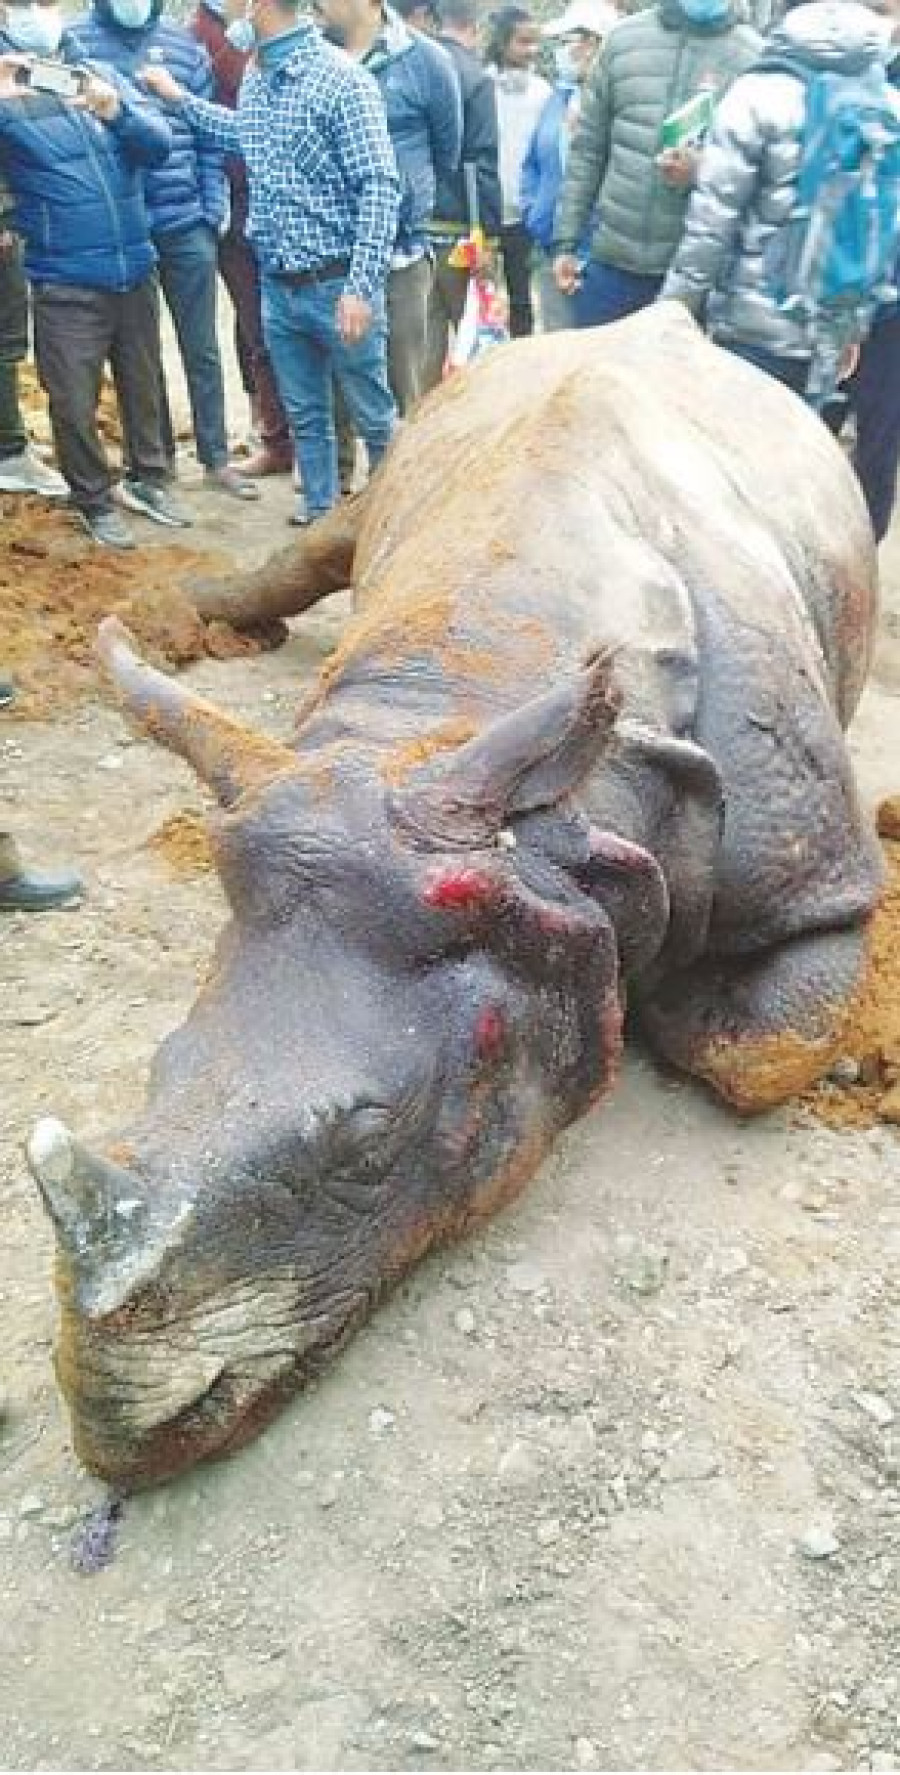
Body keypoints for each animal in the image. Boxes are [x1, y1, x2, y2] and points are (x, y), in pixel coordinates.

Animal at [26, 305, 883, 1489]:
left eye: (369, 1142)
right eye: (159, 1065)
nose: (117, 1430)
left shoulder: (818, 882)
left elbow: (762, 1046)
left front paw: (666, 992)